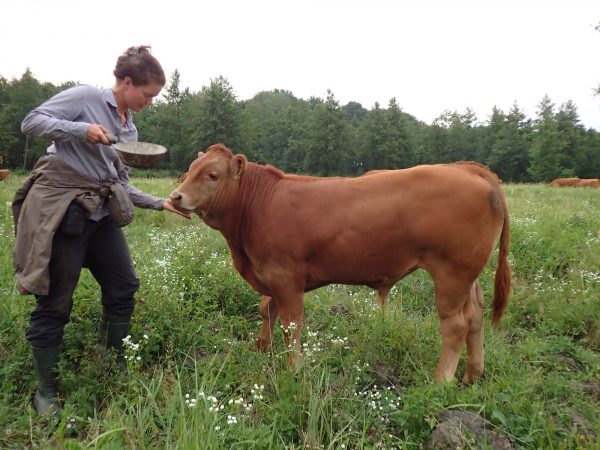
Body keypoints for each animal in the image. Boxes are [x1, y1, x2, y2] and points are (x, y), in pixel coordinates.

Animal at [171, 144, 512, 384]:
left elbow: (291, 324)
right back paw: (473, 374)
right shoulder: (267, 274)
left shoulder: (285, 277)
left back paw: (441, 381)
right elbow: (266, 310)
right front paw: (261, 348)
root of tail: (467, 168)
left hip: (451, 273)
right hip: (468, 276)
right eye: (189, 170)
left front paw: (294, 368)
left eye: (213, 175)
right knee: (476, 316)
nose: (175, 197)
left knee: (455, 325)